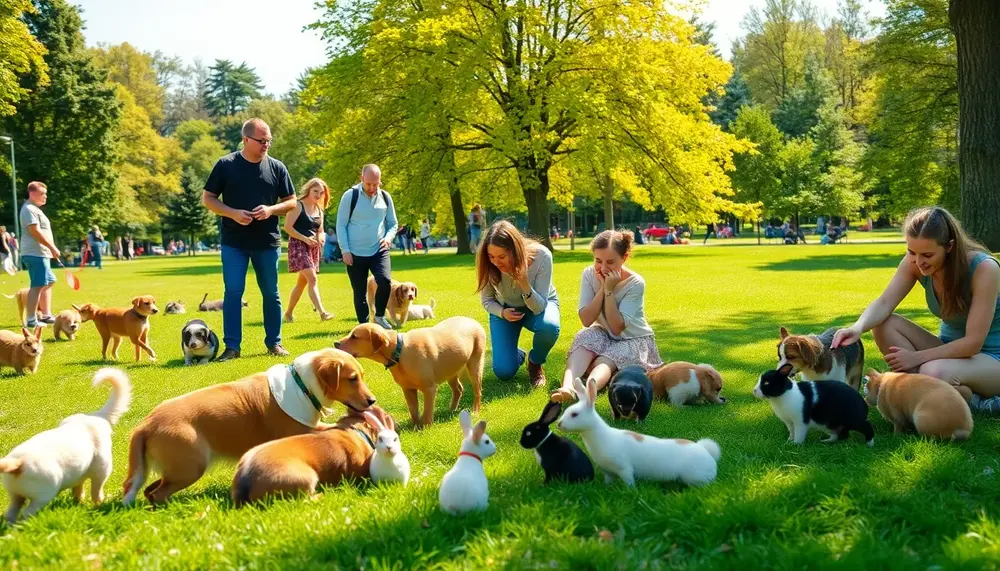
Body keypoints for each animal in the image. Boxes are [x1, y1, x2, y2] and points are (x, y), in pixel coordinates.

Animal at [0, 368, 132, 524]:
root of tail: (17, 463)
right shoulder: (102, 469)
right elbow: (96, 491)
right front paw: (99, 503)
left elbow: (78, 488)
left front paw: (79, 501)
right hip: (43, 494)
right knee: (27, 513)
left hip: (14, 495)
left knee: (11, 513)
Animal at [121, 348, 376, 504]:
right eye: (352, 378)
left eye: (362, 376)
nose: (372, 401)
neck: (303, 385)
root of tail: (145, 424)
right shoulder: (297, 431)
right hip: (190, 467)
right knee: (158, 494)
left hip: (177, 470)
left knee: (150, 490)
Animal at [334, 318, 486, 428]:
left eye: (355, 336)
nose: (335, 343)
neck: (400, 352)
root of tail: (473, 320)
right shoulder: (407, 389)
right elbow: (413, 410)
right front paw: (415, 427)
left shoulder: (430, 388)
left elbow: (427, 411)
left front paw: (426, 428)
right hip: (451, 369)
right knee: (458, 389)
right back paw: (451, 410)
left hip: (475, 364)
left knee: (477, 391)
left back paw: (475, 412)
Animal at [556, 380, 720, 488]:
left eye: (574, 414)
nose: (559, 424)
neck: (601, 437)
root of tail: (707, 452)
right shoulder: (608, 472)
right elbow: (608, 481)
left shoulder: (624, 469)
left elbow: (629, 482)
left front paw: (631, 491)